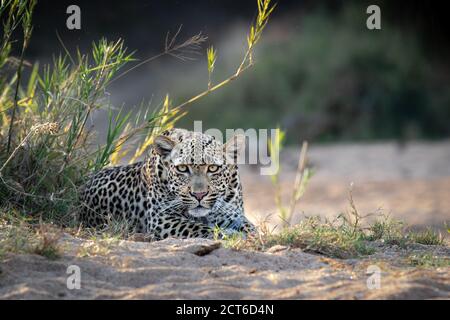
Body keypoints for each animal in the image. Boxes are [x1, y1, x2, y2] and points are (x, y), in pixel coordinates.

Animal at [77, 129, 253, 239]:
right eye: (182, 168)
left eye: (213, 168)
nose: (199, 195)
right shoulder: (162, 218)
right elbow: (197, 228)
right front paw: (229, 234)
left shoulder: (233, 215)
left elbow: (252, 229)